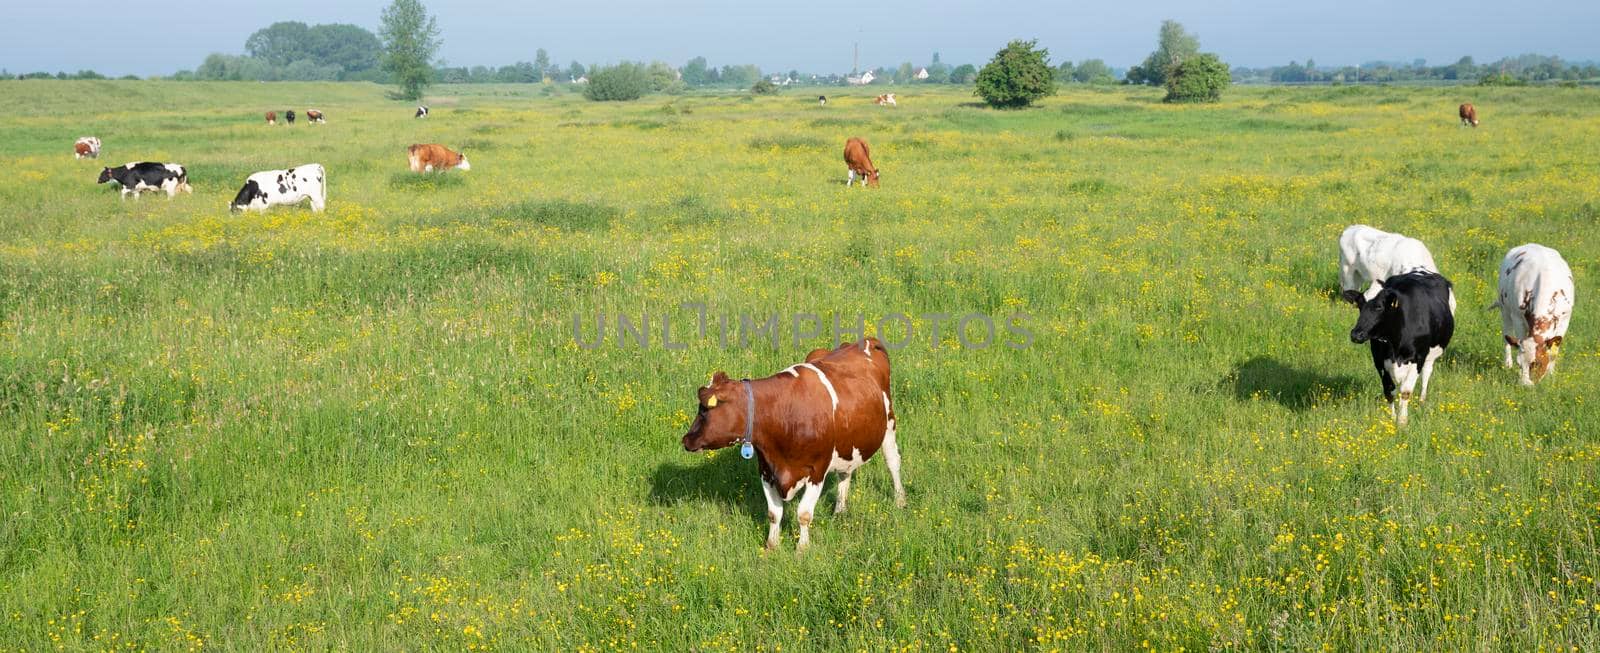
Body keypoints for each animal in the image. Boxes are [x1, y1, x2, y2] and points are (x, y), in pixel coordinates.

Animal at [678, 336, 908, 550]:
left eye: (704, 410)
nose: (686, 440)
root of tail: (864, 340)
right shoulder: (766, 469)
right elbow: (774, 513)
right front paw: (771, 546)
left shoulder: (817, 470)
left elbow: (803, 514)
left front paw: (802, 549)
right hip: (848, 441)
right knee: (845, 473)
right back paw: (840, 511)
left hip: (889, 425)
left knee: (893, 462)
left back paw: (900, 501)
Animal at [1344, 268, 1459, 425]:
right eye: (1360, 306)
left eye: (1379, 307)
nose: (1356, 334)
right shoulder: (1379, 360)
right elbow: (1389, 390)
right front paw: (1391, 418)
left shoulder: (1418, 358)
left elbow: (1405, 391)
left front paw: (1402, 421)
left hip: (1431, 354)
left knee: (1426, 373)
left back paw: (1422, 401)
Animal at [1484, 244, 1574, 387]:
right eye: (1519, 364)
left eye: (1537, 363)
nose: (1525, 385)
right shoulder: (1517, 317)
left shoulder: (1565, 320)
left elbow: (1554, 352)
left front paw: (1551, 375)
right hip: (1505, 309)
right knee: (1506, 336)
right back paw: (1507, 364)